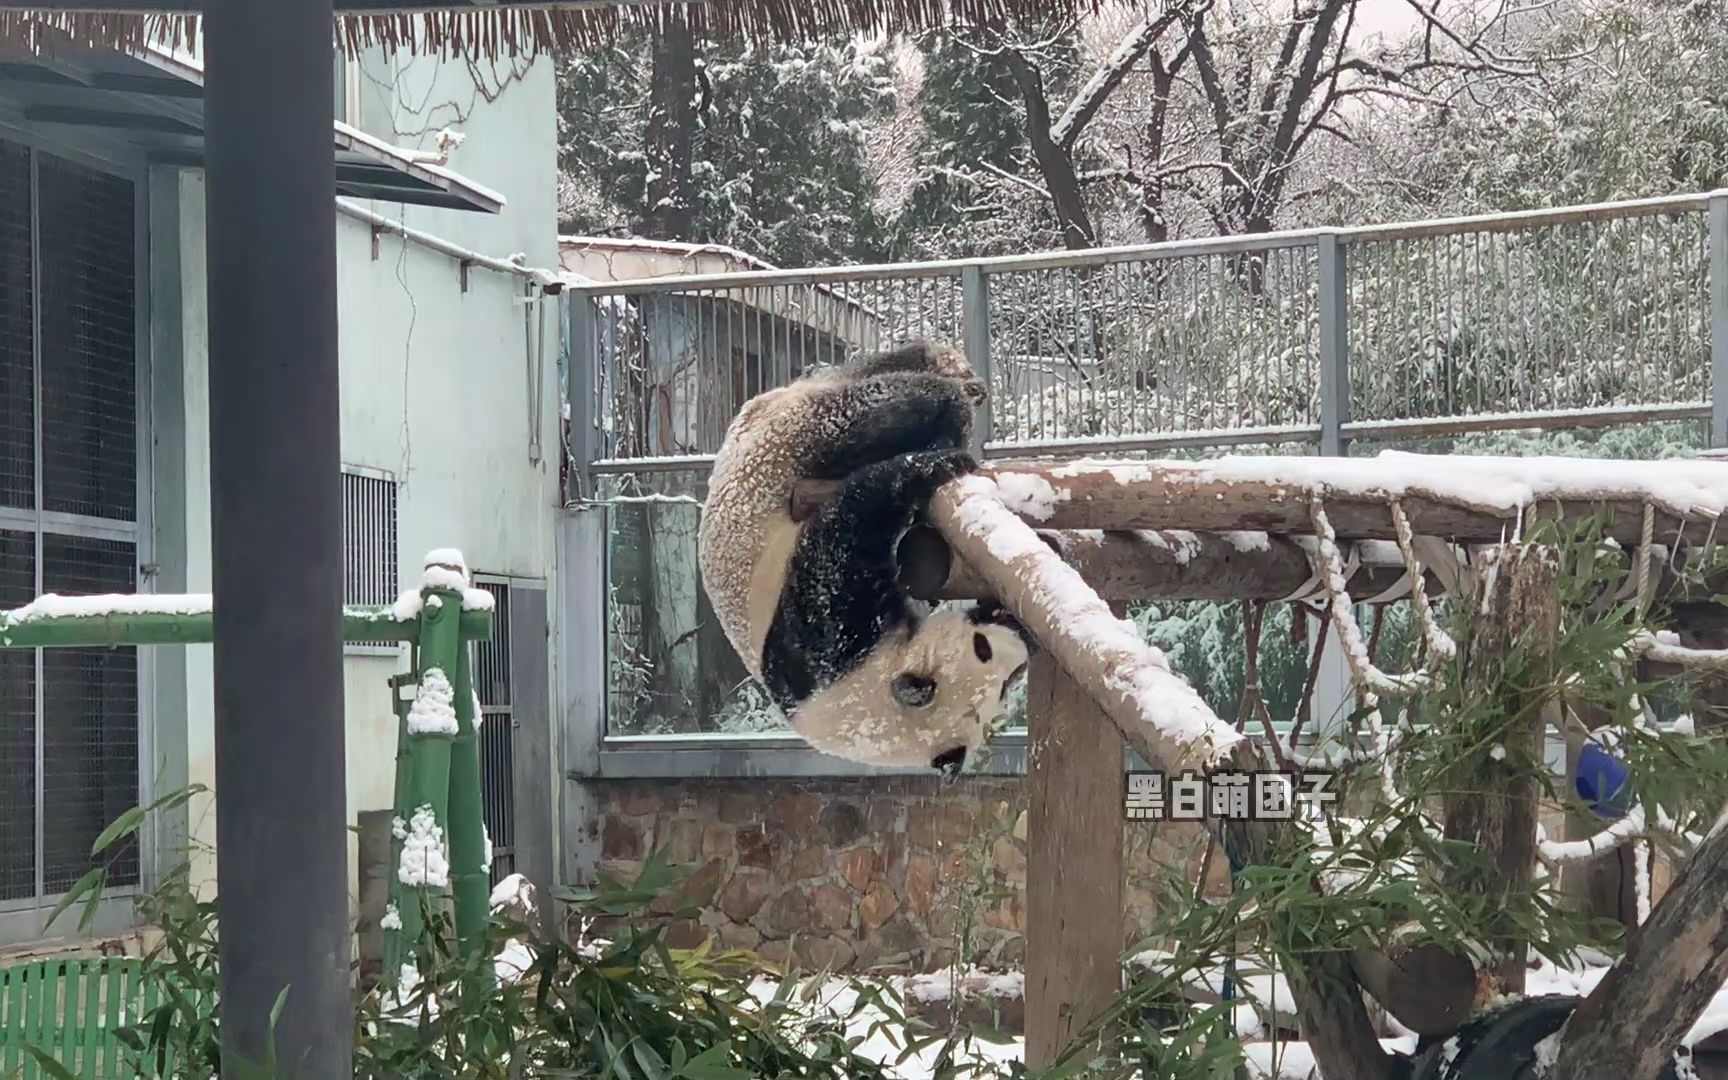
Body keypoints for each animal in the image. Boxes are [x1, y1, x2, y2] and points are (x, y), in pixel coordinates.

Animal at [694, 340, 1029, 770]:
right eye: (984, 651)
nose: (1019, 635)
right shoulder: (824, 636)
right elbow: (851, 523)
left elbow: (859, 509)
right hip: (798, 433)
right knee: (886, 404)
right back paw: (951, 396)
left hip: (793, 433)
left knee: (882, 396)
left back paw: (950, 383)